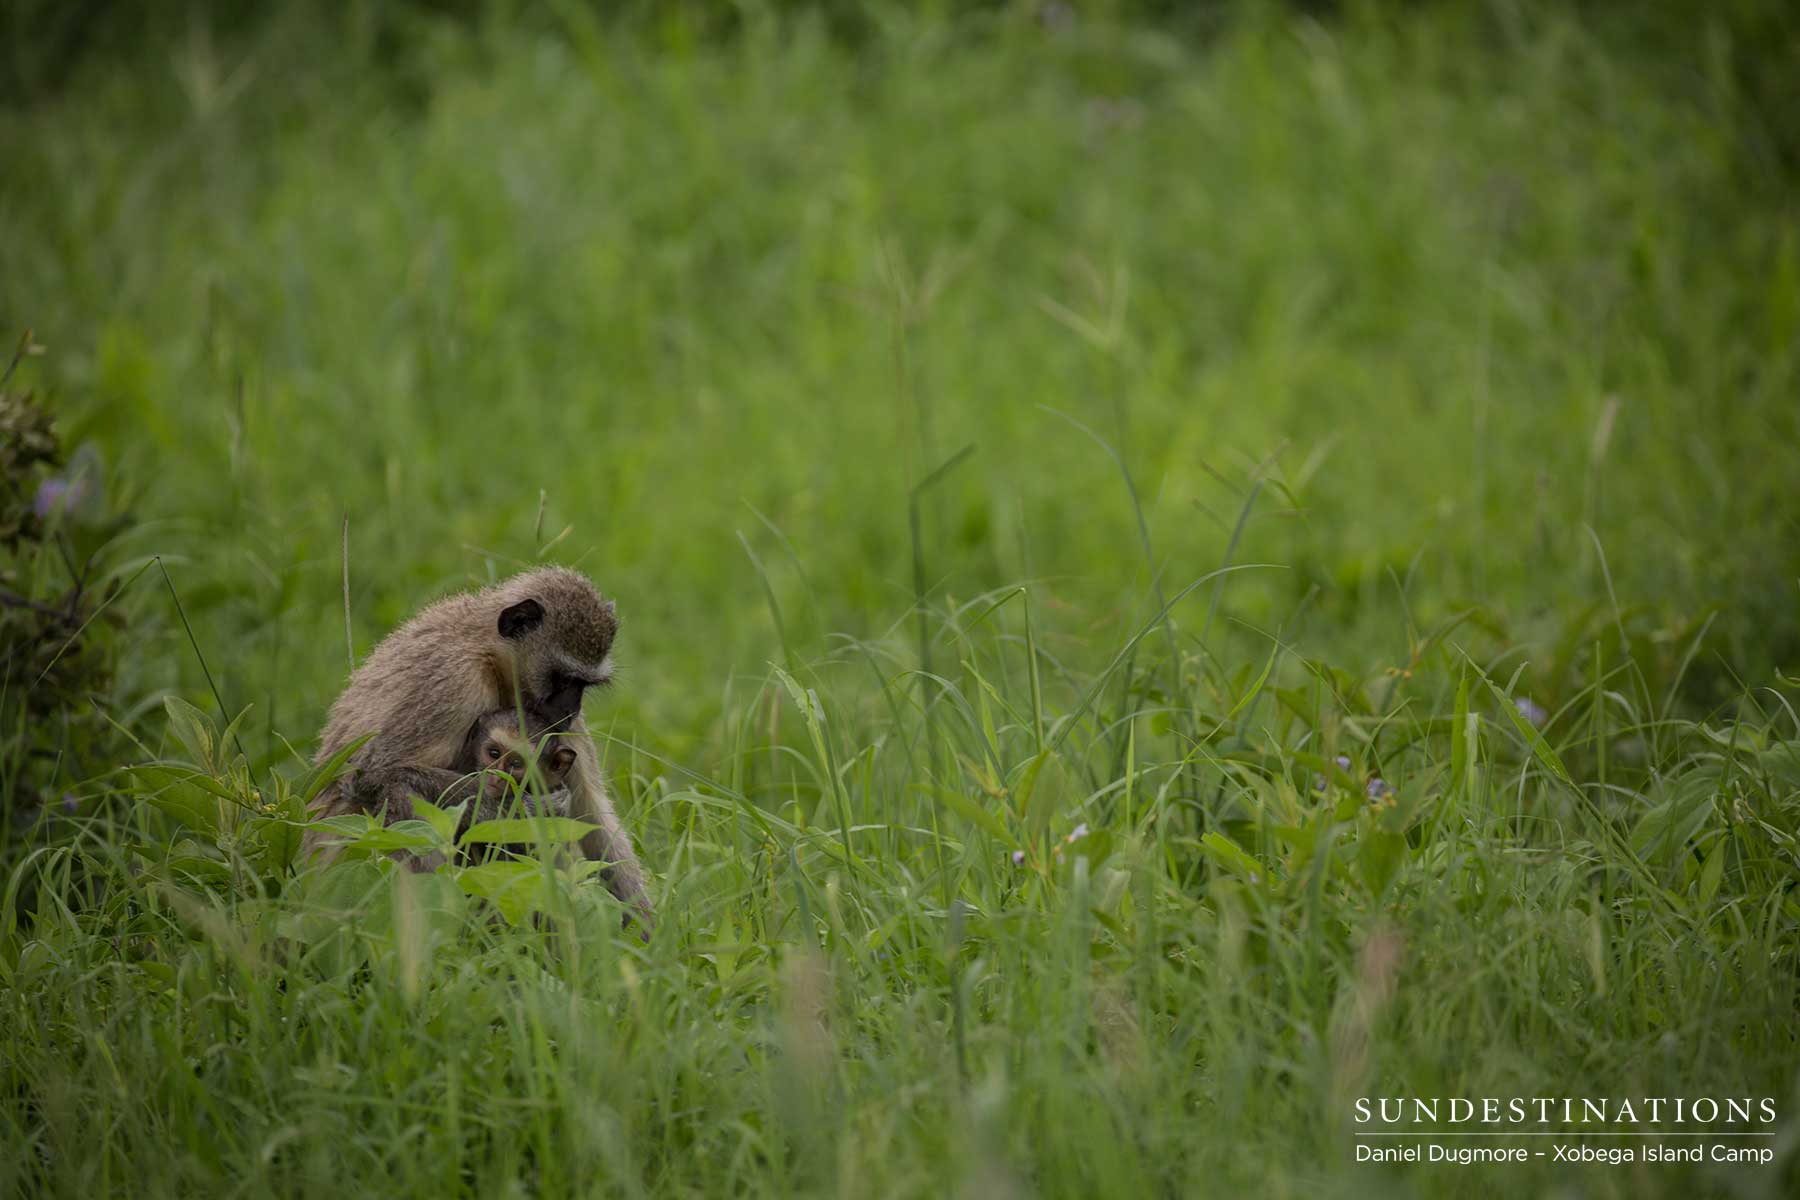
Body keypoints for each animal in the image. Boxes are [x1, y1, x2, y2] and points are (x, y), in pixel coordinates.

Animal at [306, 566, 651, 924]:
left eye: (582, 684)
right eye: (563, 679)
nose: (570, 709)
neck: (486, 650)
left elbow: (592, 812)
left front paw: (648, 932)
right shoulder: (454, 680)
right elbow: (372, 775)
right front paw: (531, 810)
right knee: (400, 791)